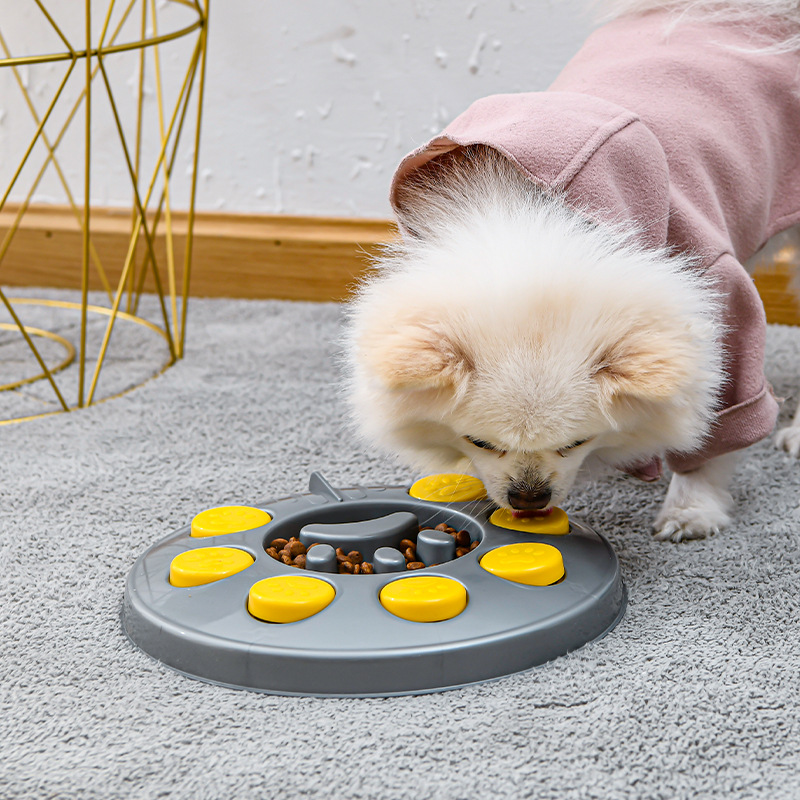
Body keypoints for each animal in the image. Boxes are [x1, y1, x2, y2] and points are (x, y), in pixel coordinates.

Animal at [342, 1, 800, 544]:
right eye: (480, 441)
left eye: (575, 442)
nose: (529, 497)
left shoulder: (720, 296)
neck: (526, 224)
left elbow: (716, 421)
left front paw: (692, 506)